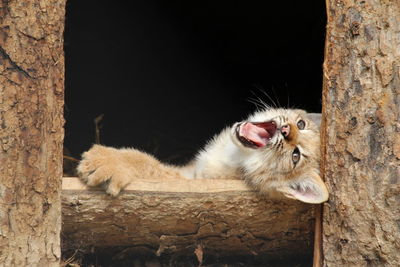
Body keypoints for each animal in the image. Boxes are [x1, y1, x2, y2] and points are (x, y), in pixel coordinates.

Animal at [77, 108, 328, 204]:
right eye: (301, 124)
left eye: (295, 156)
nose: (287, 131)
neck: (236, 155)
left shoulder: (192, 180)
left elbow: (152, 165)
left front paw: (106, 161)